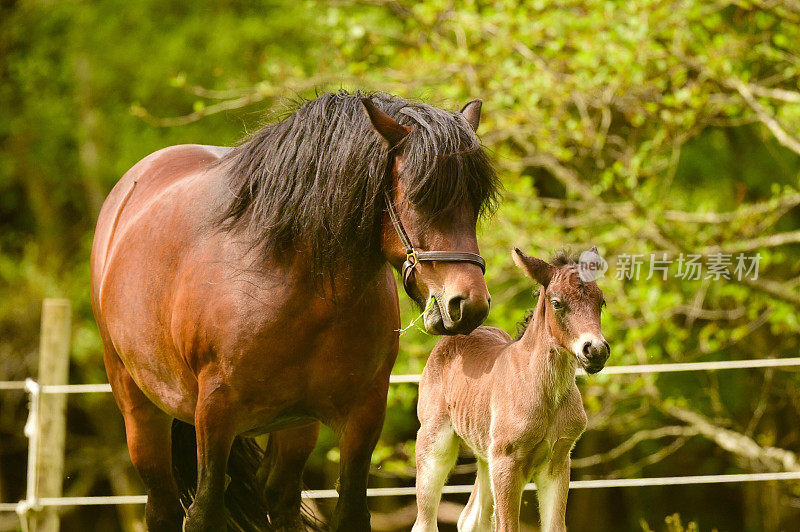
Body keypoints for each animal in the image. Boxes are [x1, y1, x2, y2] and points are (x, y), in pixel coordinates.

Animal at [416, 247, 608, 528]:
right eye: (557, 303)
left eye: (601, 302)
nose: (595, 351)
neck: (545, 392)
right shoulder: (507, 463)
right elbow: (507, 526)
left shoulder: (558, 462)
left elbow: (554, 526)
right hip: (434, 444)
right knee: (425, 521)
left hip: (485, 454)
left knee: (471, 518)